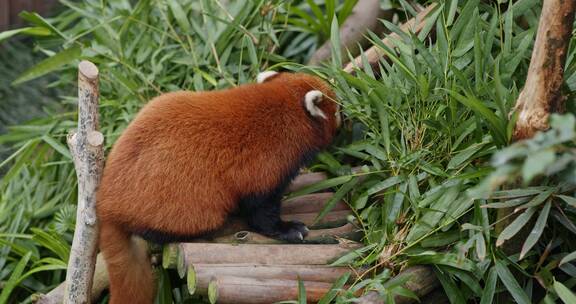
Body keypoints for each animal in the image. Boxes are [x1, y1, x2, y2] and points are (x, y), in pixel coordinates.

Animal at [94, 70, 338, 302]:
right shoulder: (266, 164)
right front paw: (288, 229)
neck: (284, 108)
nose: (346, 115)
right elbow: (261, 209)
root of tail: (106, 202)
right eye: (338, 111)